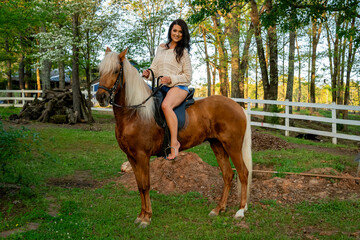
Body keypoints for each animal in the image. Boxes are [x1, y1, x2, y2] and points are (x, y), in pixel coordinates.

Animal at [95, 47, 253, 228]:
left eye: (115, 71)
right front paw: (141, 215)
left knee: (243, 173)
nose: (100, 97)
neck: (134, 113)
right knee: (228, 175)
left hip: (233, 146)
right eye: (100, 71)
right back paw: (218, 209)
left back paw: (240, 211)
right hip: (218, 145)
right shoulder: (131, 156)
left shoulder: (142, 156)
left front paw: (147, 218)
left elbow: (146, 185)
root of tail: (238, 107)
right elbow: (139, 186)